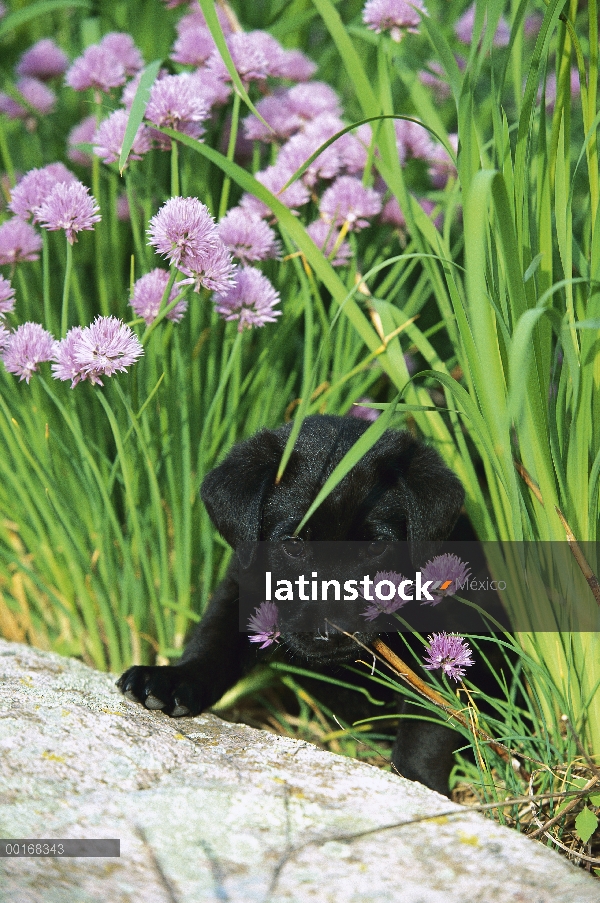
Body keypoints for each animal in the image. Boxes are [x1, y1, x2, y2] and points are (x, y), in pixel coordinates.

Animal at [116, 414, 464, 796]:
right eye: (294, 544)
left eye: (376, 547)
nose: (332, 632)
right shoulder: (242, 587)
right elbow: (212, 642)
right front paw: (173, 679)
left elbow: (428, 718)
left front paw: (418, 782)